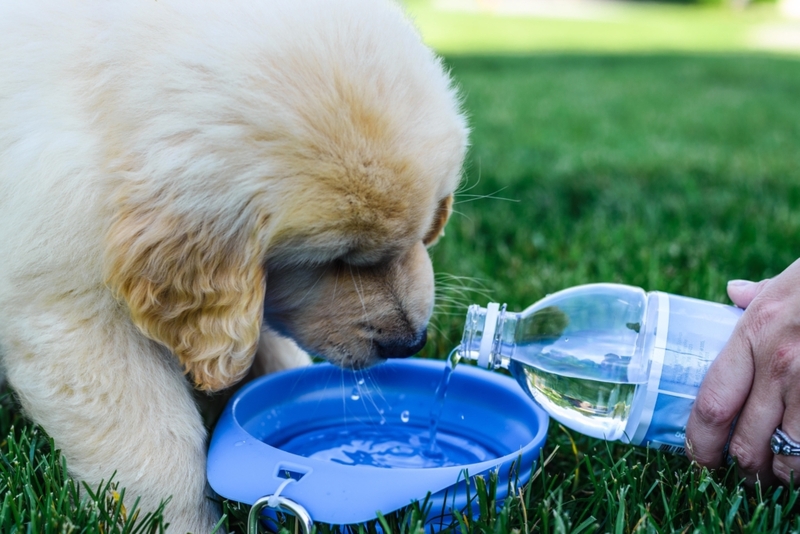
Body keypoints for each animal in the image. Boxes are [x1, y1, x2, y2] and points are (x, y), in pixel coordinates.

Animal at [0, 2, 466, 532]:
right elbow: (150, 443)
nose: (411, 343)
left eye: (425, 230)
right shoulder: (74, 313)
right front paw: (183, 522)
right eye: (334, 261)